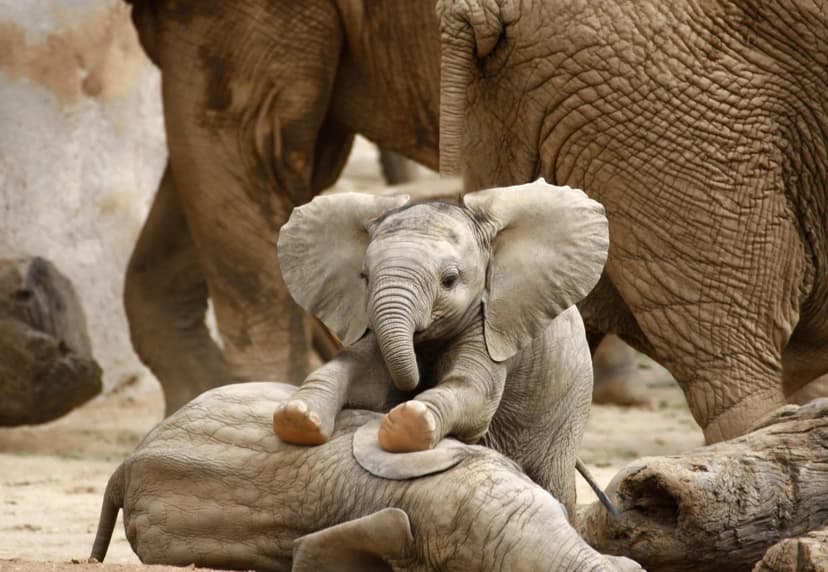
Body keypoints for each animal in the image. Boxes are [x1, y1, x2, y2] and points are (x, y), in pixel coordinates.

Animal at [272, 181, 609, 515]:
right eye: (364, 278)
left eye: (450, 280)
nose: (414, 387)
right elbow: (358, 370)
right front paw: (296, 417)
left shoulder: (491, 323)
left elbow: (474, 392)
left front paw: (407, 422)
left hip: (569, 408)